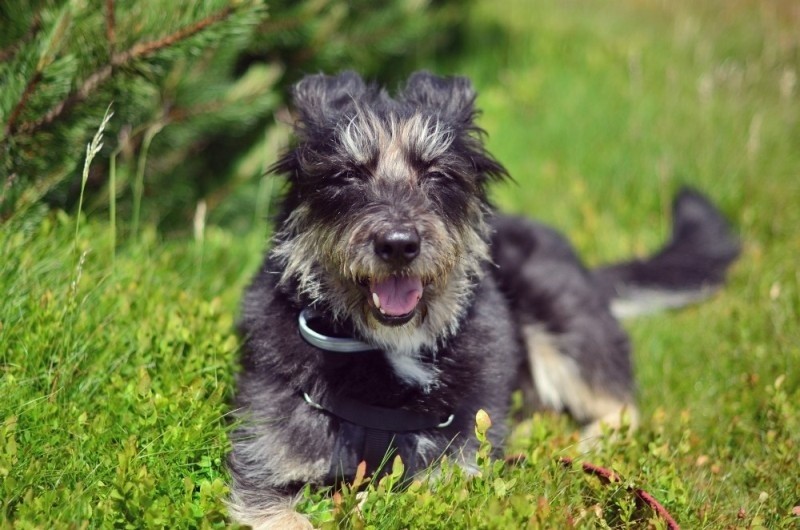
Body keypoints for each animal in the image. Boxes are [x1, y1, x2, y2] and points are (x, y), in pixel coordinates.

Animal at [225, 71, 736, 528]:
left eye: (435, 172)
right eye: (348, 173)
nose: (398, 245)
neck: (386, 356)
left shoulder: (455, 467)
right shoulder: (265, 462)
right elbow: (282, 511)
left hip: (558, 314)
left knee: (619, 408)